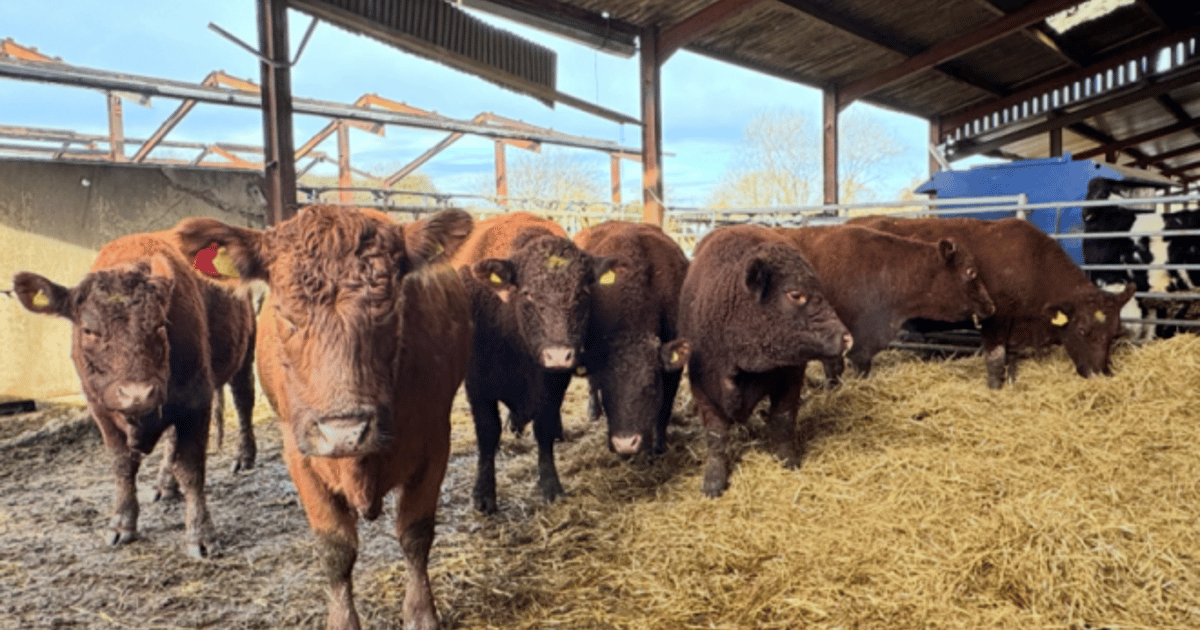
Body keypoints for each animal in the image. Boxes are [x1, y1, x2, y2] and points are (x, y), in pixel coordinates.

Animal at [13, 233, 223, 558]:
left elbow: (191, 468)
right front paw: (122, 524)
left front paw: (201, 535)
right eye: (88, 330)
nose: (138, 394)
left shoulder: (197, 400)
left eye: (159, 324)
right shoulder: (100, 410)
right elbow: (123, 466)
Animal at [173, 205, 474, 630]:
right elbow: (335, 549)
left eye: (388, 308)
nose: (343, 433)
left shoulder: (435, 443)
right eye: (285, 315)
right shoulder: (300, 455)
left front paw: (421, 615)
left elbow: (415, 535)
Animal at [451, 211, 616, 514]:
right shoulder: (478, 386)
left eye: (581, 293)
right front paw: (483, 494)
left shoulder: (552, 385)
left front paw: (551, 486)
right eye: (527, 293)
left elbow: (544, 429)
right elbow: (487, 433)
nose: (558, 355)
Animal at [679, 224, 853, 498]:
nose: (846, 338)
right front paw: (714, 481)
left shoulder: (790, 378)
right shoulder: (703, 387)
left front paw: (787, 460)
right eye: (795, 294)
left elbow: (782, 420)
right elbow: (716, 436)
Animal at [849, 215, 1135, 389]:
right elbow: (996, 360)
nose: (1099, 375)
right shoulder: (995, 320)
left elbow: (1010, 360)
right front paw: (995, 389)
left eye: (1114, 334)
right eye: (1083, 331)